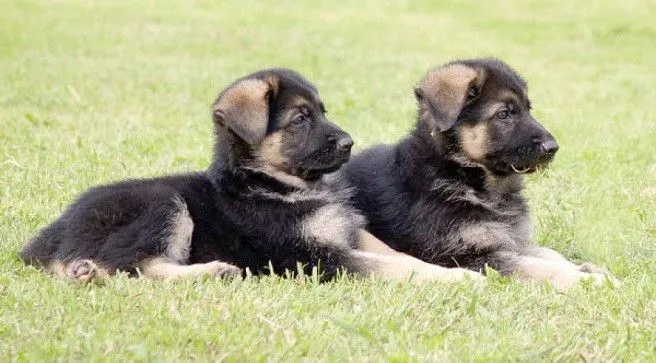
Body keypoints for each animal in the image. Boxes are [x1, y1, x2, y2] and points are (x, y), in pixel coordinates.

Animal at [21, 68, 482, 284]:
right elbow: (390, 267)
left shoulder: (347, 232)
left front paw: (448, 270)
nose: (350, 143)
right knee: (137, 265)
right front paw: (460, 277)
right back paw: (212, 272)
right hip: (162, 203)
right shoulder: (311, 256)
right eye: (301, 119)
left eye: (323, 111)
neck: (276, 186)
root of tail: (51, 236)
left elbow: (401, 256)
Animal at [346, 59, 616, 292]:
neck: (459, 173)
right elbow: (535, 266)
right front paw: (585, 279)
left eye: (528, 109)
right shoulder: (467, 255)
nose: (553, 147)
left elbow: (549, 253)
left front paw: (590, 267)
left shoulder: (511, 240)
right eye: (504, 114)